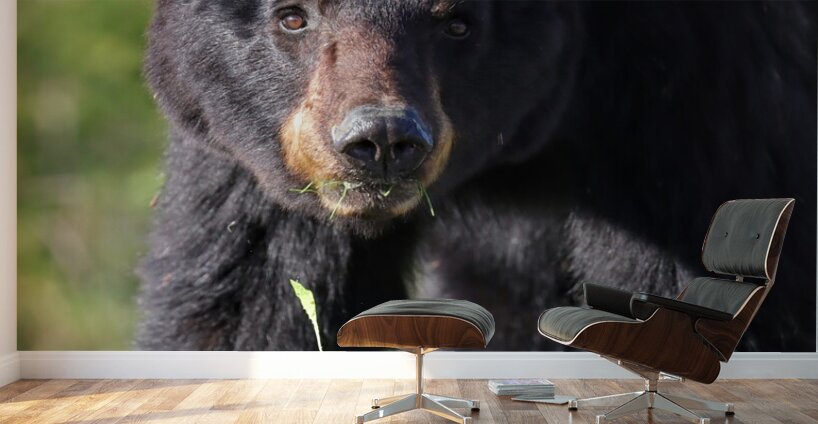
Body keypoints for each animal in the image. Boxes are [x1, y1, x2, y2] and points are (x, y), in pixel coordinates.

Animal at [137, 1, 816, 352]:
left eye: (456, 22)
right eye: (293, 17)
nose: (381, 142)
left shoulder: (700, 94)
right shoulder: (253, 156)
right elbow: (255, 301)